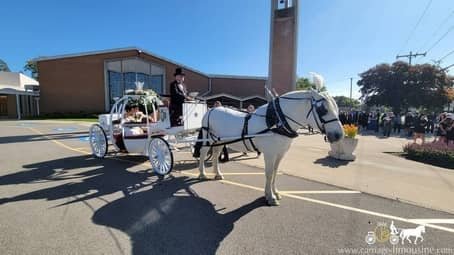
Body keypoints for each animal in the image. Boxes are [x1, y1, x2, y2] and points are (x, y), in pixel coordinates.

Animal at [194, 77, 340, 205]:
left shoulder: (280, 153)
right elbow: (269, 174)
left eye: (337, 108)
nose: (338, 135)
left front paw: (275, 193)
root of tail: (211, 109)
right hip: (208, 139)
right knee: (203, 153)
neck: (277, 121)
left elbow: (275, 172)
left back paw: (217, 174)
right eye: (323, 109)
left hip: (219, 141)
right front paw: (270, 197)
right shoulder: (270, 154)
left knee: (215, 155)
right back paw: (202, 174)